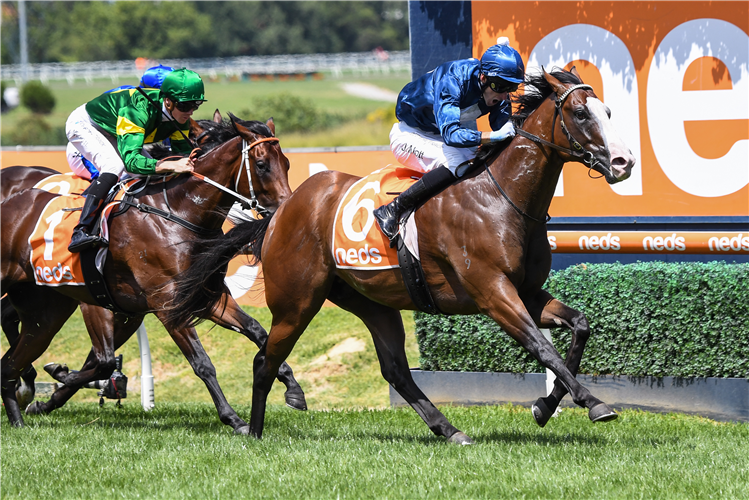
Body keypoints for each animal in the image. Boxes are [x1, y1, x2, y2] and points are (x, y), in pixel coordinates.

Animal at [0, 115, 302, 432]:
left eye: (287, 163)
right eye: (262, 164)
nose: (286, 209)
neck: (179, 212)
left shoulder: (201, 297)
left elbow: (257, 330)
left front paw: (292, 387)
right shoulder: (164, 306)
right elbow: (201, 363)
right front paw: (234, 418)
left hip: (45, 311)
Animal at [171, 67, 636, 446]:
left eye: (608, 111)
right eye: (581, 113)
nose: (623, 162)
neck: (501, 197)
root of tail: (280, 212)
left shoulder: (526, 291)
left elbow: (579, 327)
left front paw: (546, 405)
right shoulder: (493, 293)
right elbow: (541, 346)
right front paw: (592, 402)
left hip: (373, 302)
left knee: (395, 370)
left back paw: (449, 429)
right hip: (296, 302)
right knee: (264, 360)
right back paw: (254, 431)